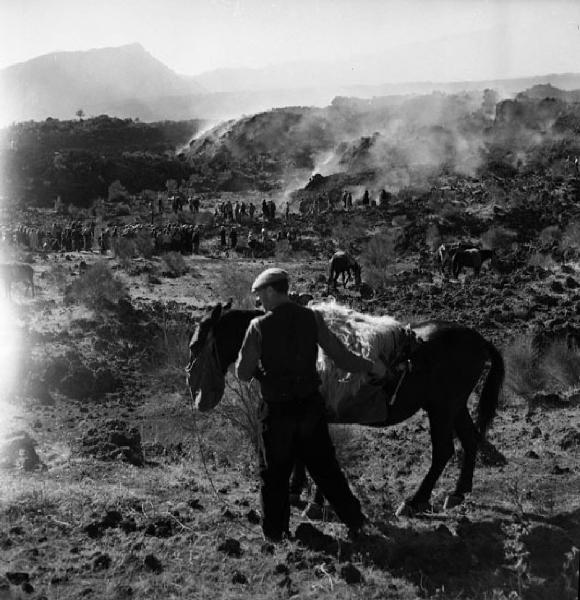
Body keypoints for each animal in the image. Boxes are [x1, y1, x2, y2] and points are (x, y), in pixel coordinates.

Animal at [188, 304, 506, 516]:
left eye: (195, 345)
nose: (196, 392)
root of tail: (479, 339)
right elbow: (303, 456)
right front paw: (295, 490)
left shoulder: (316, 416)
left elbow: (317, 457)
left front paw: (315, 502)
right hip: (455, 406)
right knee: (470, 440)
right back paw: (458, 493)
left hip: (442, 408)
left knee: (443, 451)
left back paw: (414, 501)